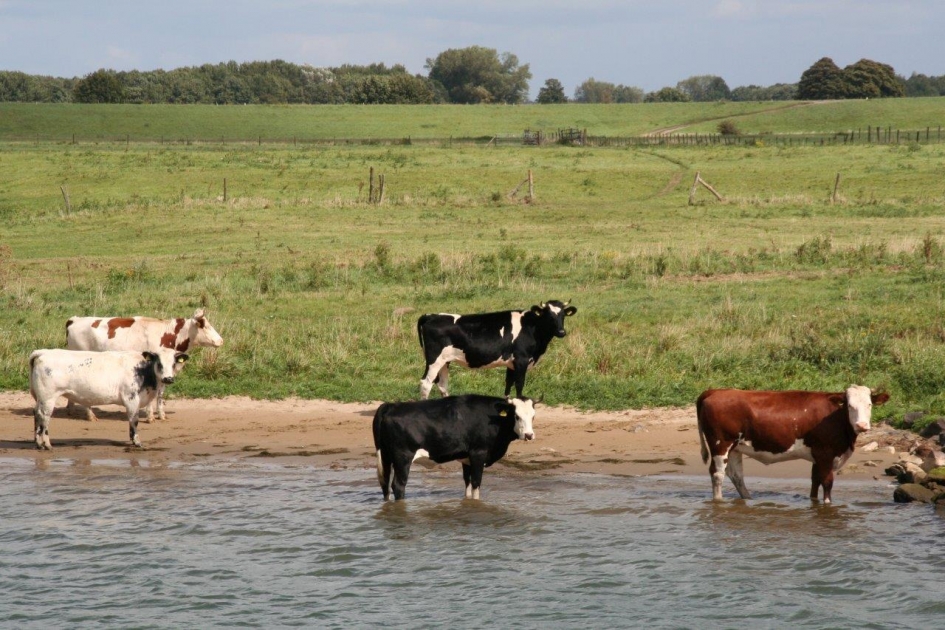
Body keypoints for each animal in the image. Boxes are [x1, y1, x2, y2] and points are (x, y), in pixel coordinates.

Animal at [29, 347, 189, 450]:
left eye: (174, 364)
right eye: (159, 363)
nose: (168, 379)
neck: (143, 370)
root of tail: (44, 352)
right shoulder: (131, 399)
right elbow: (134, 420)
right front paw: (136, 442)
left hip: (40, 398)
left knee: (36, 414)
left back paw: (38, 443)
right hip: (48, 398)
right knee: (44, 418)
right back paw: (47, 444)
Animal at [65, 308, 222, 421]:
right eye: (203, 325)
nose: (221, 340)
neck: (169, 334)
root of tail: (74, 319)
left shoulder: (166, 372)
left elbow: (161, 393)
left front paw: (161, 415)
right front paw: (150, 416)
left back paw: (71, 409)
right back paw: (90, 415)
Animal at [372, 394, 537, 501]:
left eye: (533, 416)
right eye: (516, 416)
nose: (529, 435)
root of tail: (391, 405)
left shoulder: (467, 459)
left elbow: (467, 483)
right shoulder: (478, 453)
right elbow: (476, 483)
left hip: (385, 455)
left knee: (385, 483)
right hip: (403, 456)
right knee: (398, 485)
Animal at [417, 300, 576, 400]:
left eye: (563, 315)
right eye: (549, 315)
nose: (561, 332)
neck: (532, 327)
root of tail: (430, 315)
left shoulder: (511, 363)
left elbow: (508, 385)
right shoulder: (522, 360)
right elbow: (519, 385)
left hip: (445, 361)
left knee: (442, 384)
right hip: (434, 360)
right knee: (426, 383)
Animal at [696, 385, 890, 504]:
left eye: (869, 404)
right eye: (849, 406)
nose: (862, 425)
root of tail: (715, 391)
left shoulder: (817, 456)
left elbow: (814, 482)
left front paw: (814, 502)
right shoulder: (825, 454)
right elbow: (827, 482)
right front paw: (827, 505)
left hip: (736, 447)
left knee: (736, 475)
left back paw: (748, 499)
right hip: (720, 444)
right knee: (717, 474)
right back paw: (718, 501)